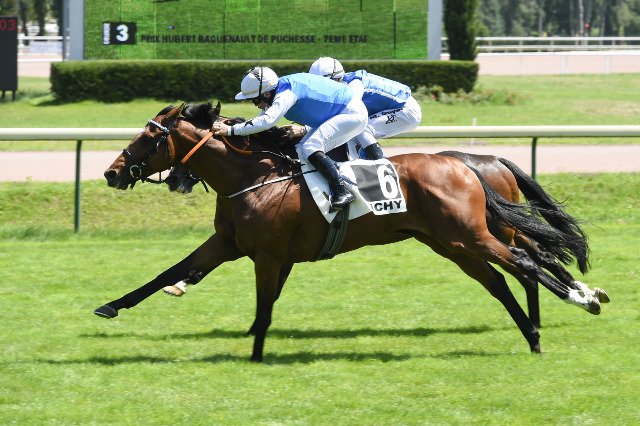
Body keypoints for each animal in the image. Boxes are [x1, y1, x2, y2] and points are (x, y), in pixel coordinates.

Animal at [96, 102, 603, 362]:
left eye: (149, 136)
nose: (112, 172)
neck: (254, 178)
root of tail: (470, 164)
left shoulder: (268, 255)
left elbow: (264, 304)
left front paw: (256, 353)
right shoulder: (230, 243)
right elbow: (170, 271)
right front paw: (111, 306)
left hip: (471, 235)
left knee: (527, 261)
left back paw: (580, 301)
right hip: (451, 243)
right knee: (502, 278)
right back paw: (536, 332)